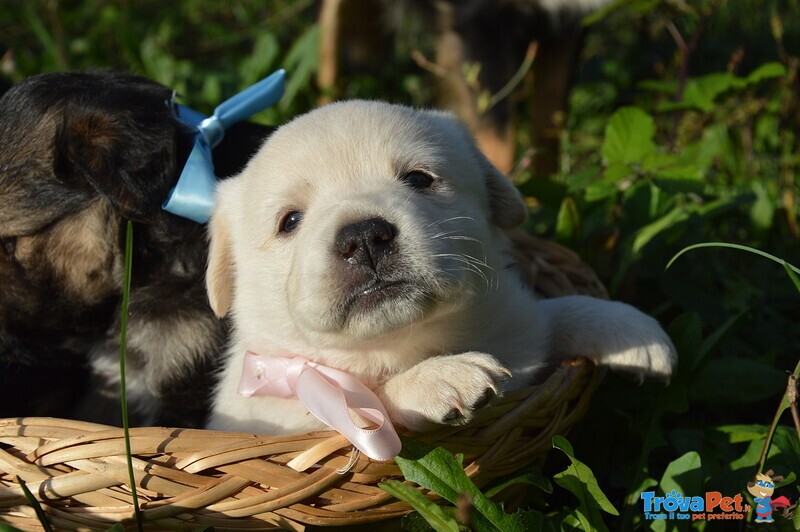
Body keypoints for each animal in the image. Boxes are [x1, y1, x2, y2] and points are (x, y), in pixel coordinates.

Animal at [206, 101, 676, 436]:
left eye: (418, 179)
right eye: (289, 221)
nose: (364, 237)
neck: (407, 343)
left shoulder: (518, 325)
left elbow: (552, 314)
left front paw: (632, 330)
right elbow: (368, 400)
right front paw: (438, 378)